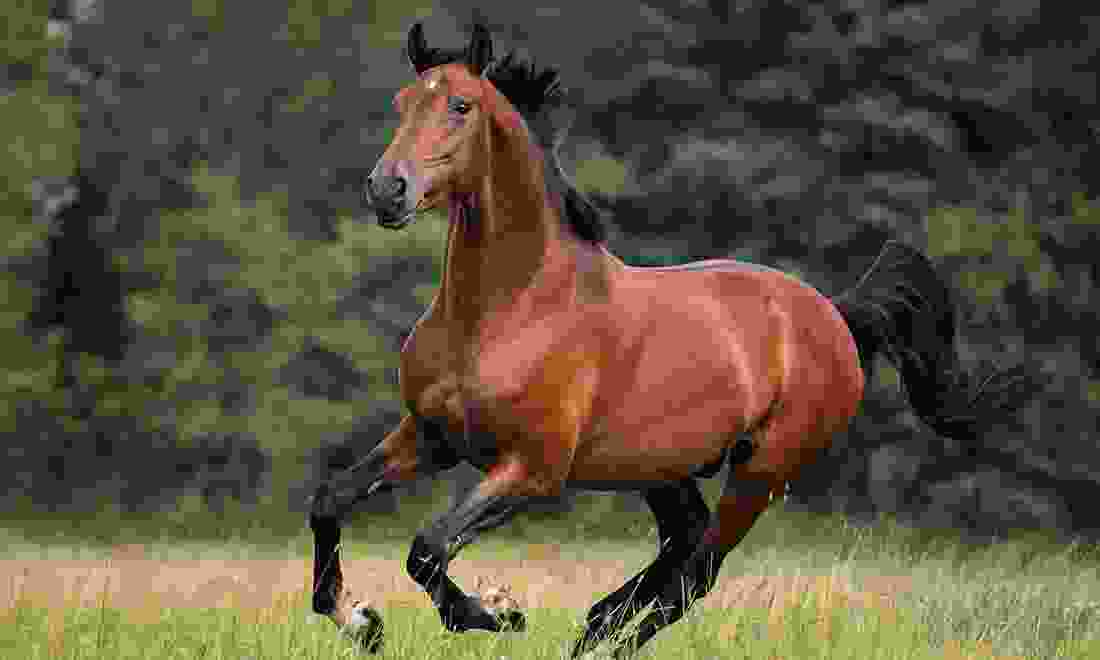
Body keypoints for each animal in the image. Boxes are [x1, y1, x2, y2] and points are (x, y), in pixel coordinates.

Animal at [308, 19, 1040, 658]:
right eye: (403, 104)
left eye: (460, 105)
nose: (387, 189)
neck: (506, 311)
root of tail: (833, 313)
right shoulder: (431, 436)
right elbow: (330, 502)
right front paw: (360, 621)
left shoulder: (533, 469)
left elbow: (428, 546)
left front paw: (494, 612)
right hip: (665, 469)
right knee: (680, 552)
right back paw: (597, 625)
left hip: (763, 470)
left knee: (697, 572)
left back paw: (597, 630)